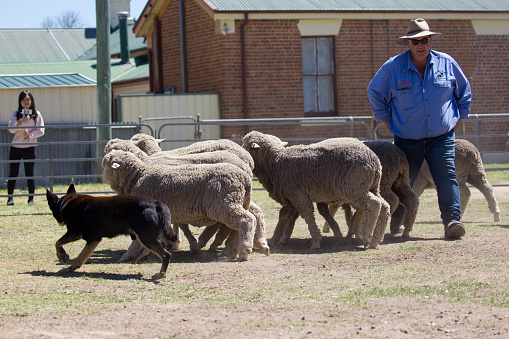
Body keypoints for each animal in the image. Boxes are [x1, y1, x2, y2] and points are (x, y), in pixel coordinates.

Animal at [46, 185, 177, 280]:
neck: (65, 203)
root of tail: (155, 203)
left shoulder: (75, 233)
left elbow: (57, 243)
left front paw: (62, 256)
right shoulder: (94, 239)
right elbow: (80, 257)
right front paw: (71, 268)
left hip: (144, 236)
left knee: (165, 254)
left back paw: (160, 274)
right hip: (144, 235)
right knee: (162, 244)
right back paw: (142, 258)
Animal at [101, 150, 264, 262]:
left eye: (105, 166)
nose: (101, 178)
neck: (138, 176)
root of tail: (246, 177)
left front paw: (128, 255)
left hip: (224, 204)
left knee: (246, 220)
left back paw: (244, 250)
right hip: (237, 202)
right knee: (240, 224)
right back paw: (235, 250)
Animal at [242, 131, 388, 250]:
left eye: (245, 145)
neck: (274, 162)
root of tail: (374, 160)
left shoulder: (296, 194)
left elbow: (307, 215)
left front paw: (316, 241)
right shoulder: (291, 195)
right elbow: (285, 215)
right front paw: (277, 238)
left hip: (354, 188)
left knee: (374, 204)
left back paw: (367, 237)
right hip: (372, 187)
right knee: (384, 206)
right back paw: (376, 239)